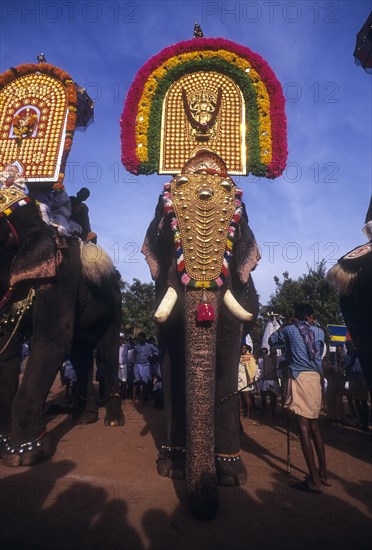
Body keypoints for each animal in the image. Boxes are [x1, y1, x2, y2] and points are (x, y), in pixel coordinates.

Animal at [0, 188, 125, 468]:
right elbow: (7, 346)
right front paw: (5, 448)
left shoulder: (60, 274)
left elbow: (53, 340)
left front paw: (24, 455)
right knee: (80, 354)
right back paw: (85, 418)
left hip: (114, 305)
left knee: (107, 351)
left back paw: (113, 421)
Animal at [141, 152, 260, 520]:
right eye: (167, 230)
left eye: (236, 229)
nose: (206, 513)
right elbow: (170, 359)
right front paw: (172, 469)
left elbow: (228, 353)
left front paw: (232, 477)